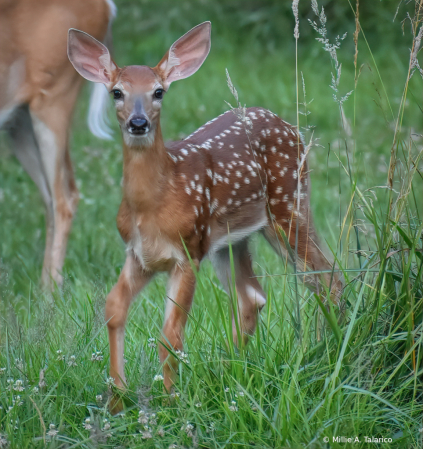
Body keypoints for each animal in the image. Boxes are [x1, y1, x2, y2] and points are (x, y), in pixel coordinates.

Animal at [0, 0, 116, 288]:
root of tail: (107, 6)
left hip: (54, 96)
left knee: (63, 199)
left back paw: (50, 291)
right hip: (19, 121)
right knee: (53, 198)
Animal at [68, 21, 342, 392]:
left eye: (158, 92)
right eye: (117, 92)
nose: (138, 123)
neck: (152, 204)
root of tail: (288, 126)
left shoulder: (189, 252)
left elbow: (170, 335)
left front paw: (170, 399)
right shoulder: (138, 254)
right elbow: (113, 309)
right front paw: (117, 396)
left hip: (289, 206)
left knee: (327, 278)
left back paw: (330, 349)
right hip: (231, 239)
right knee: (253, 297)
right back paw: (228, 371)